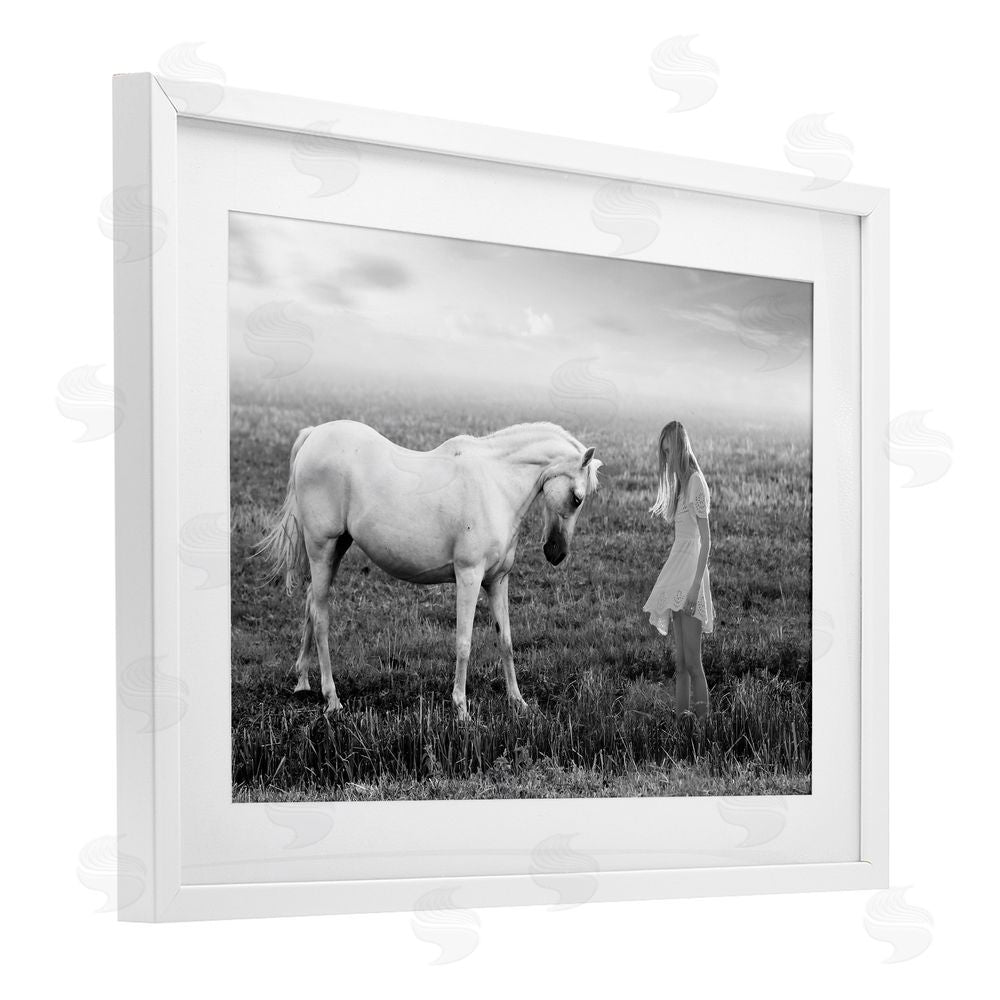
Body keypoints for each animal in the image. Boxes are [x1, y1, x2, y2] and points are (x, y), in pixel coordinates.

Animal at [257, 420, 602, 720]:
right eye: (576, 498)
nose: (556, 553)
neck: (495, 484)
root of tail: (314, 434)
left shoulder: (497, 581)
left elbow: (506, 641)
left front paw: (518, 702)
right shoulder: (469, 576)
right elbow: (464, 643)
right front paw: (461, 709)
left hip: (336, 548)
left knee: (310, 606)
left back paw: (303, 682)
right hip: (322, 548)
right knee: (321, 619)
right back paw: (332, 699)